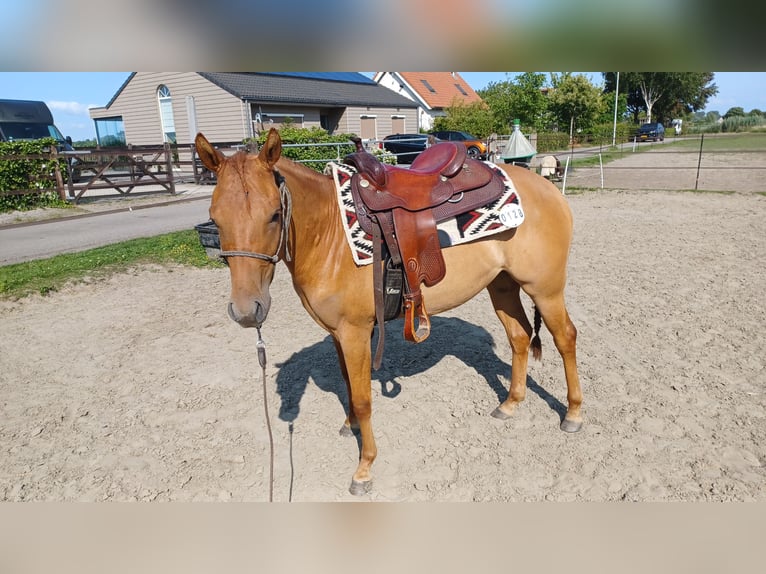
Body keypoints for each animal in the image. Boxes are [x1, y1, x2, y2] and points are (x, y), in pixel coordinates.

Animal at [196, 128, 582, 496]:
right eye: (215, 218)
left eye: (275, 215)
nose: (247, 311)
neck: (329, 235)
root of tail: (549, 189)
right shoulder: (338, 334)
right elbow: (348, 385)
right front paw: (349, 425)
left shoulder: (354, 332)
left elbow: (363, 398)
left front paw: (364, 468)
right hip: (502, 286)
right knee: (519, 337)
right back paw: (510, 403)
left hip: (545, 289)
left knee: (565, 338)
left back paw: (574, 413)